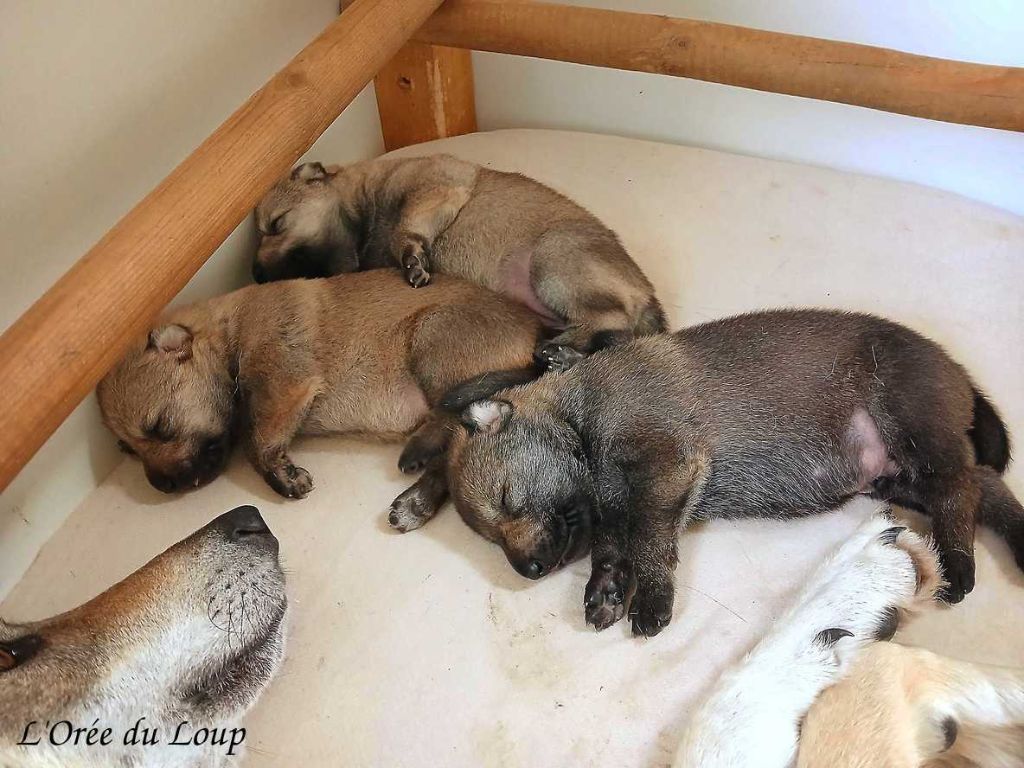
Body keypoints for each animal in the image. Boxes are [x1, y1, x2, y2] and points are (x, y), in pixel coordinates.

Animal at [97, 268, 544, 528]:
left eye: (159, 427)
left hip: (433, 335)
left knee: (454, 419)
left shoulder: (283, 384)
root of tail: (539, 336)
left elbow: (256, 440)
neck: (228, 332)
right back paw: (418, 498)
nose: (162, 487)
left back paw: (419, 461)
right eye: (128, 450)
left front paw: (280, 474)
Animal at [252, 154, 667, 370]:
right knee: (613, 333)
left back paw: (559, 349)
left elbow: (405, 229)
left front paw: (413, 259)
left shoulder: (433, 189)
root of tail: (648, 294)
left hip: (551, 260)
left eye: (275, 224)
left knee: (612, 317)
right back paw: (565, 352)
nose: (255, 273)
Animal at [442, 309, 1024, 638]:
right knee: (984, 487)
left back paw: (957, 564)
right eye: (490, 536)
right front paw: (606, 588)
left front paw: (651, 599)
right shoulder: (615, 503)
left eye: (507, 498)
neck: (579, 410)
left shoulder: (667, 469)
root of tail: (956, 369)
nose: (529, 571)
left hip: (913, 430)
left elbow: (647, 539)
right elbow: (611, 542)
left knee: (961, 491)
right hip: (897, 474)